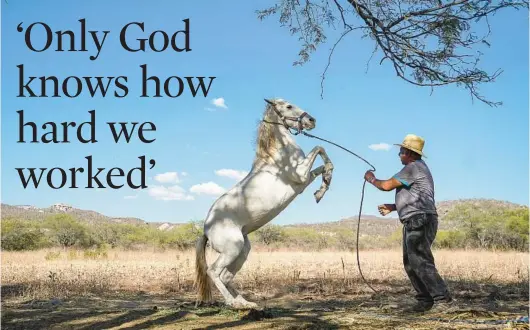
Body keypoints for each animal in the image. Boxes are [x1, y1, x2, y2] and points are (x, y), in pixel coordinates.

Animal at [194, 98, 334, 310]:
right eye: (288, 106)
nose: (311, 120)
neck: (277, 154)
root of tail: (207, 229)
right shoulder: (300, 175)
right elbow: (319, 147)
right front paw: (323, 186)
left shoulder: (304, 180)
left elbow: (322, 164)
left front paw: (322, 188)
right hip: (232, 249)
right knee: (213, 271)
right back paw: (233, 303)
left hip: (242, 250)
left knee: (226, 277)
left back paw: (245, 302)